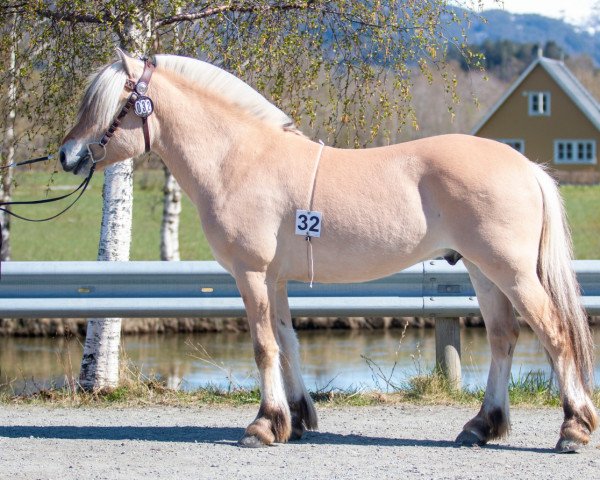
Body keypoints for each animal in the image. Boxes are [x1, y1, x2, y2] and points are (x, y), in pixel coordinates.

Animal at [58, 50, 596, 452]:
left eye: (115, 103)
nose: (67, 155)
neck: (237, 158)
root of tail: (527, 166)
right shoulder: (273, 279)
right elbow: (287, 342)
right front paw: (294, 419)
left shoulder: (250, 273)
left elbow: (263, 346)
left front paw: (262, 426)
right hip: (485, 273)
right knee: (505, 338)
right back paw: (481, 426)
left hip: (513, 274)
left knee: (553, 333)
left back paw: (572, 430)